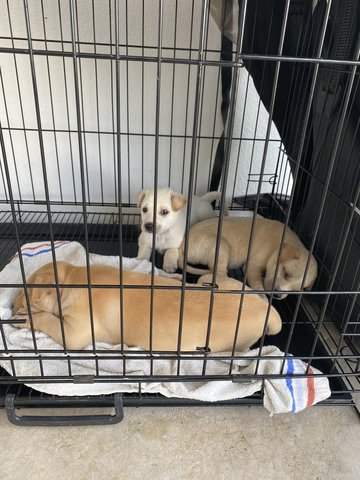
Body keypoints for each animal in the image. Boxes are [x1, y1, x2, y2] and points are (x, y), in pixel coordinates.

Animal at [11, 262, 282, 352]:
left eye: (24, 292)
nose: (11, 304)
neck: (72, 280)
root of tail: (267, 310)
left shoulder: (76, 330)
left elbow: (50, 321)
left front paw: (26, 318)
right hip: (214, 280)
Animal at [179, 218, 316, 300]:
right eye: (286, 273)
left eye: (297, 290)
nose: (277, 295)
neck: (279, 244)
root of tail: (183, 245)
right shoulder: (252, 266)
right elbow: (258, 284)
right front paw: (263, 298)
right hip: (220, 246)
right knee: (220, 273)